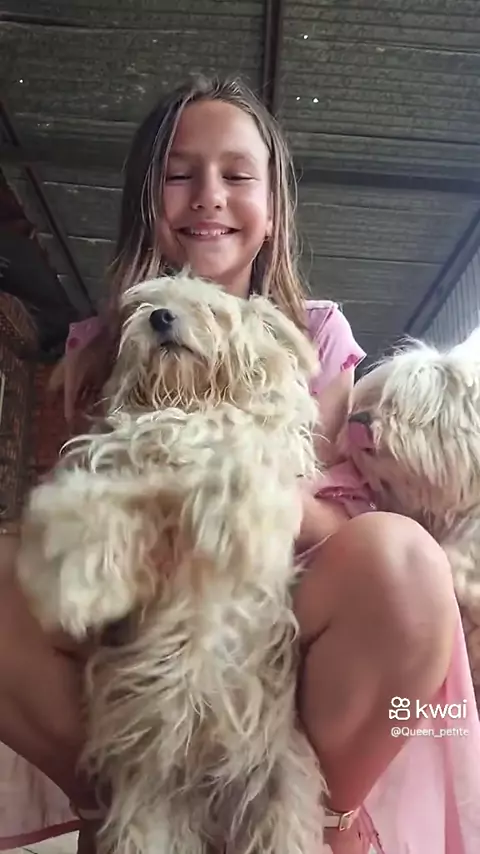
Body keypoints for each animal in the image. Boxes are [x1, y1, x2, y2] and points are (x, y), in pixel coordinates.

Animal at [17, 275, 325, 854]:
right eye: (144, 304)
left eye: (209, 307)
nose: (161, 318)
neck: (185, 402)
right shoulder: (129, 482)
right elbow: (100, 513)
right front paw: (69, 572)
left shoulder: (254, 444)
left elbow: (242, 444)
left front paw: (224, 504)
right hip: (148, 811)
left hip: (280, 794)